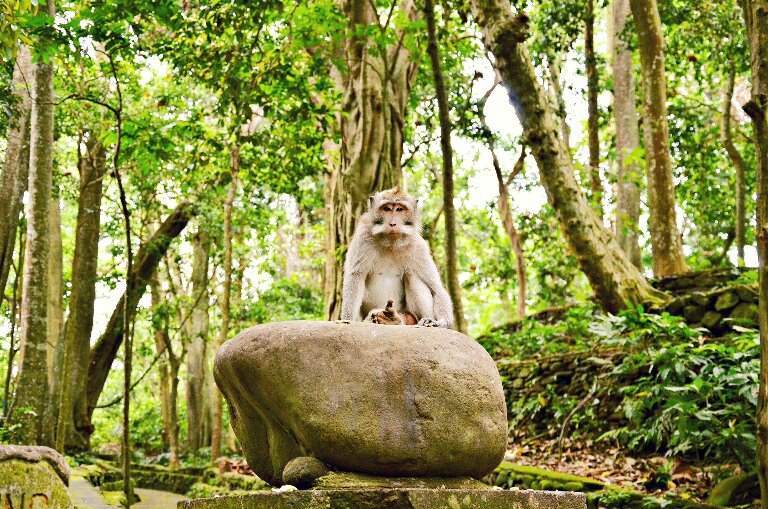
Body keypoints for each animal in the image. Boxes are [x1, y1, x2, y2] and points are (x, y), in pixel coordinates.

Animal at [340, 185, 452, 328]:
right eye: (387, 209)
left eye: (399, 209)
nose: (392, 223)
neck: (391, 243)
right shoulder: (363, 237)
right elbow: (356, 277)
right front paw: (347, 319)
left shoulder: (418, 247)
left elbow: (436, 289)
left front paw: (442, 322)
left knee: (412, 276)